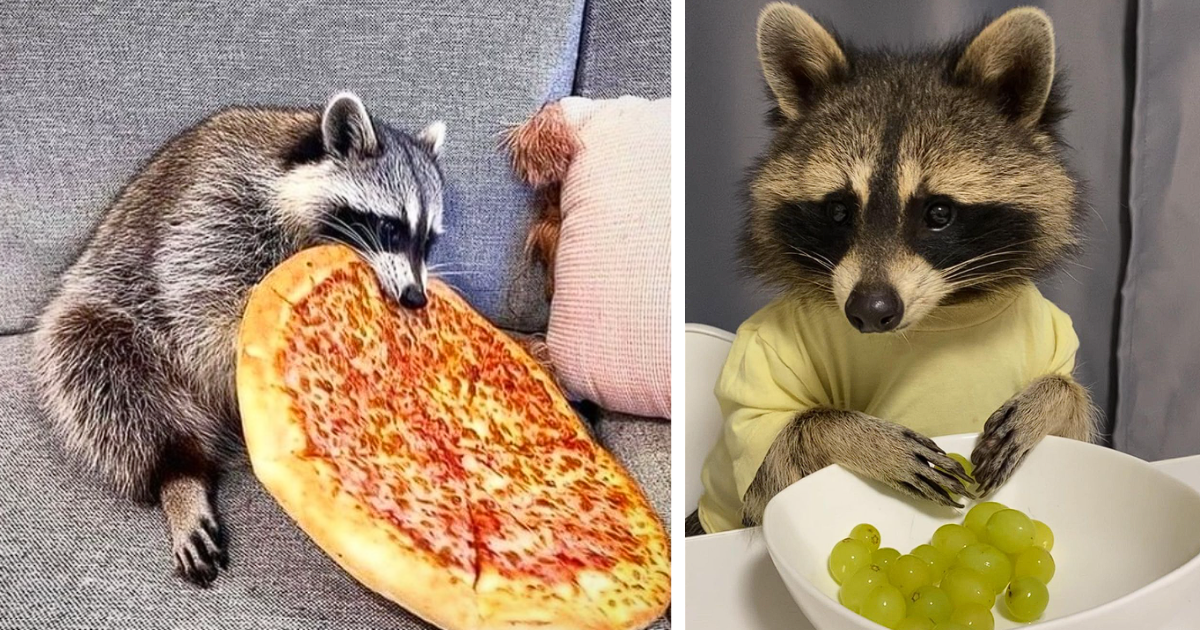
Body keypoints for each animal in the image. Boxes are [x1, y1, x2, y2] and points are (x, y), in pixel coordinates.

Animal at [30, 92, 451, 585]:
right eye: (390, 227)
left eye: (429, 241)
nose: (415, 298)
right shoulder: (218, 206)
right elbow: (200, 305)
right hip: (106, 309)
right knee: (95, 364)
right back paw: (178, 474)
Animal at [696, 4, 1099, 535]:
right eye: (839, 211)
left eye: (939, 213)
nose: (869, 311)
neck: (942, 314)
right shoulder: (763, 367)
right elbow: (778, 461)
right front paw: (851, 435)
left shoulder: (1052, 338)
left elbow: (1075, 420)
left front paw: (1050, 400)